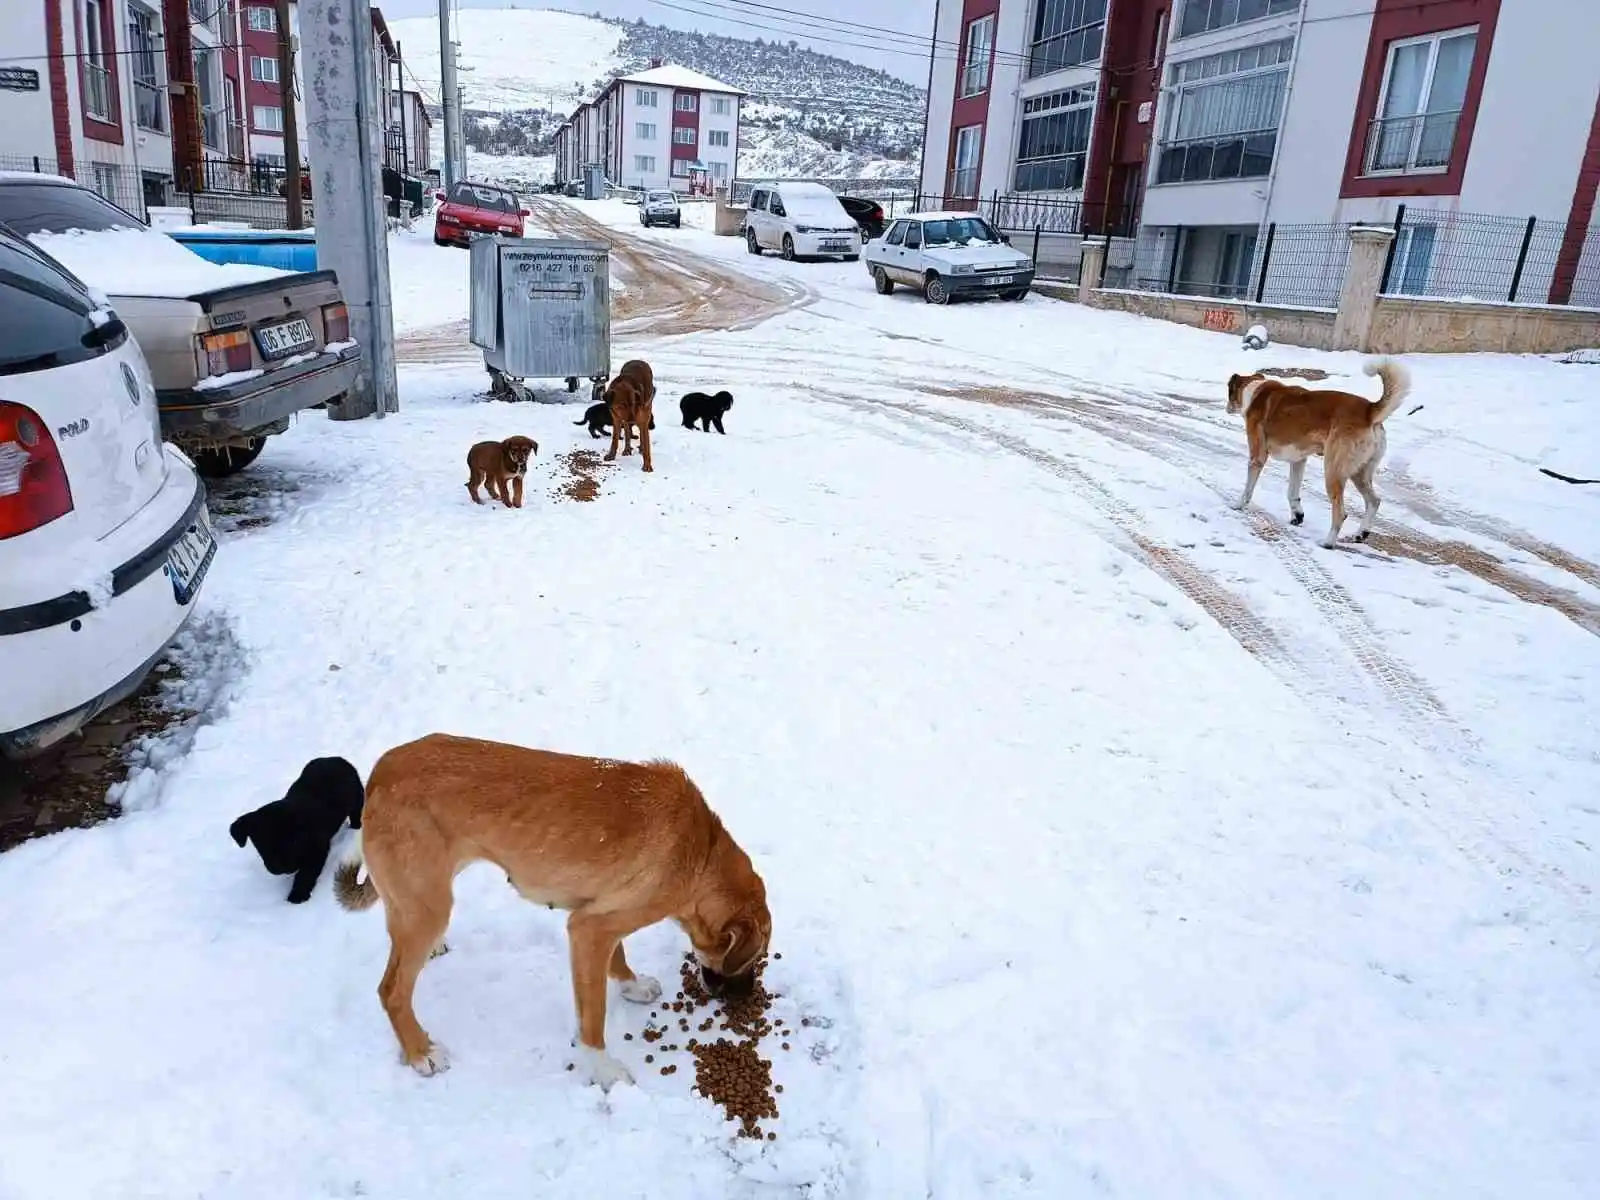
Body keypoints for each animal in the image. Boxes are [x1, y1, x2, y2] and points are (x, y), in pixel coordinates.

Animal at [230, 755, 364, 908]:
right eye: (262, 844)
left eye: (292, 841)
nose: (280, 868)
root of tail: (336, 758)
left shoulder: (317, 850)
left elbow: (305, 874)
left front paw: (298, 895)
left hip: (357, 800)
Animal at [331, 732, 768, 1088]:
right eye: (754, 959)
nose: (745, 997)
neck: (702, 852)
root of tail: (380, 773)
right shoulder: (590, 929)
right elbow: (593, 1019)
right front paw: (604, 1071)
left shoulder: (599, 920)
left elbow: (618, 957)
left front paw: (632, 985)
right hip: (428, 907)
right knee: (392, 990)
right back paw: (420, 1051)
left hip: (431, 891)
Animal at [1222, 355, 1414, 547]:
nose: (1227, 408)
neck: (1254, 390)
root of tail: (1369, 411)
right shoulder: (1298, 460)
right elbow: (1292, 492)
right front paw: (1297, 516)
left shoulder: (1257, 457)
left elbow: (1248, 489)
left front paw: (1238, 505)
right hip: (1360, 472)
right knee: (1374, 501)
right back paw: (1361, 534)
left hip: (1333, 470)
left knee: (1341, 513)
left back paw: (1328, 542)